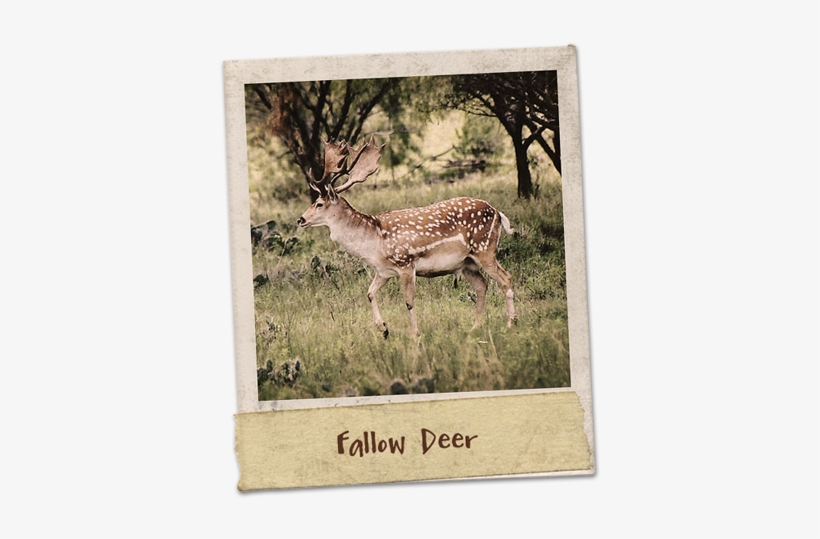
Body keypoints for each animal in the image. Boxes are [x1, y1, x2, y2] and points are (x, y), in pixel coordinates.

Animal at [296, 138, 517, 338]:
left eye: (319, 204)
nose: (300, 219)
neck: (374, 243)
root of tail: (497, 212)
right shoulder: (383, 271)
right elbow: (369, 293)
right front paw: (384, 329)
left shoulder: (406, 264)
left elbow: (409, 302)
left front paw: (415, 334)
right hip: (466, 263)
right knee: (482, 286)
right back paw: (475, 327)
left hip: (484, 248)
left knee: (506, 278)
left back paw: (510, 323)